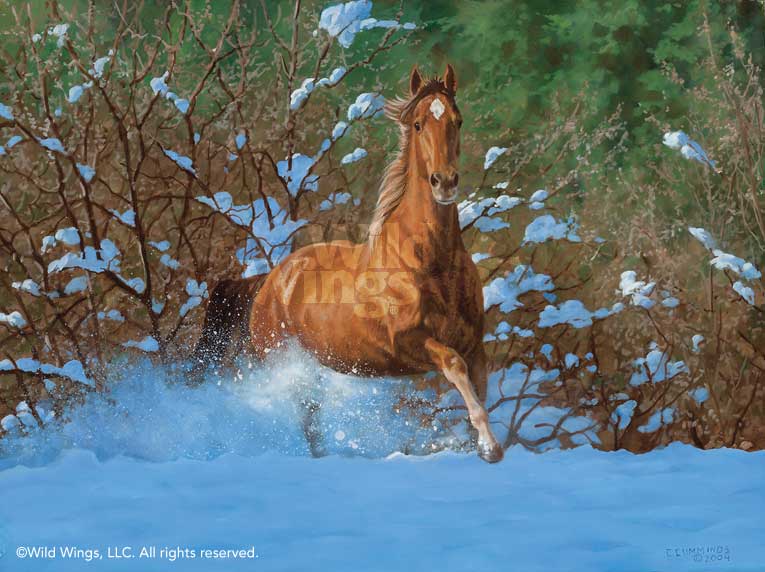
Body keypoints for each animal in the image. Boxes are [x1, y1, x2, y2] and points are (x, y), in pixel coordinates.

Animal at [192, 64, 504, 463]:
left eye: (457, 120)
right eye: (418, 124)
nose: (444, 182)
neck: (430, 262)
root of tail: (270, 281)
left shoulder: (474, 346)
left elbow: (477, 389)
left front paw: (482, 444)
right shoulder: (411, 343)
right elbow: (454, 366)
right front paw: (490, 448)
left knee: (310, 416)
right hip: (282, 363)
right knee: (300, 414)